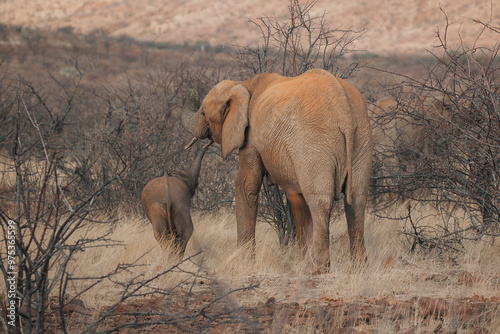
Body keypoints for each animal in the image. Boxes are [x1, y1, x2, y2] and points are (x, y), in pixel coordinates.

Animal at [180, 68, 372, 272]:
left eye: (203, 113)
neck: (242, 84)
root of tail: (345, 114)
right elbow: (297, 198)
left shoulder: (251, 137)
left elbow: (246, 186)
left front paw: (244, 263)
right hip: (361, 140)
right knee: (356, 202)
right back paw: (359, 269)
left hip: (316, 142)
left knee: (320, 202)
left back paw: (316, 270)